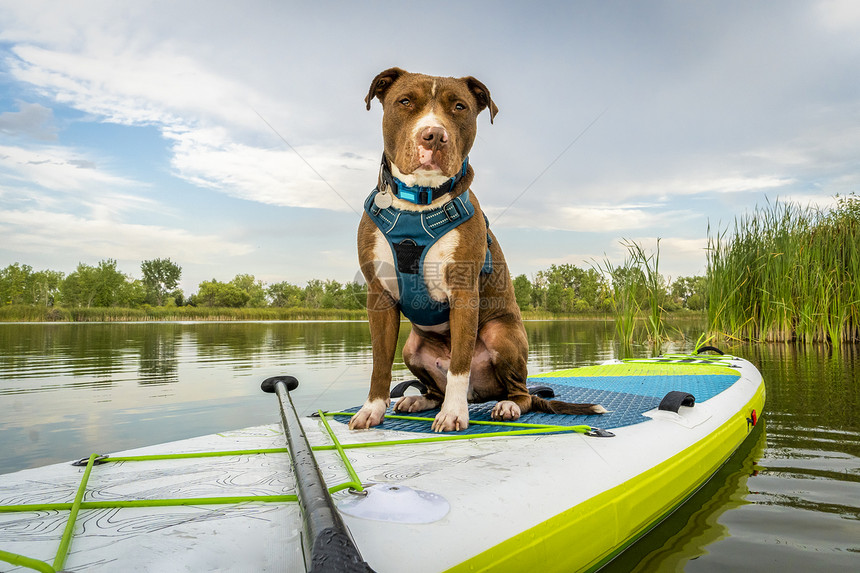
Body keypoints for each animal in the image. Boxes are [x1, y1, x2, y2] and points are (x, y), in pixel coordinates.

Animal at [350, 67, 604, 432]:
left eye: (459, 107)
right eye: (405, 101)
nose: (434, 136)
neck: (420, 203)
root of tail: (481, 394)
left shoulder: (463, 293)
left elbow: (460, 363)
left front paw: (454, 414)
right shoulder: (379, 296)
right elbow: (380, 363)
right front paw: (372, 409)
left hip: (501, 334)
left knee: (522, 392)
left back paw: (506, 406)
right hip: (411, 348)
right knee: (434, 386)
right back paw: (420, 399)